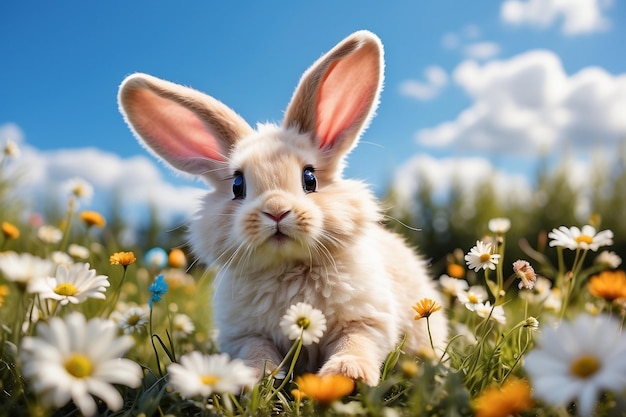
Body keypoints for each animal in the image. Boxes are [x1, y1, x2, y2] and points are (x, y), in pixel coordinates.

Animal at [117, 30, 446, 386]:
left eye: (310, 178)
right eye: (237, 186)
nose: (276, 211)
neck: (288, 267)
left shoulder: (367, 321)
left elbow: (356, 342)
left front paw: (346, 374)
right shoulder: (245, 336)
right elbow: (257, 351)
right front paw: (252, 377)